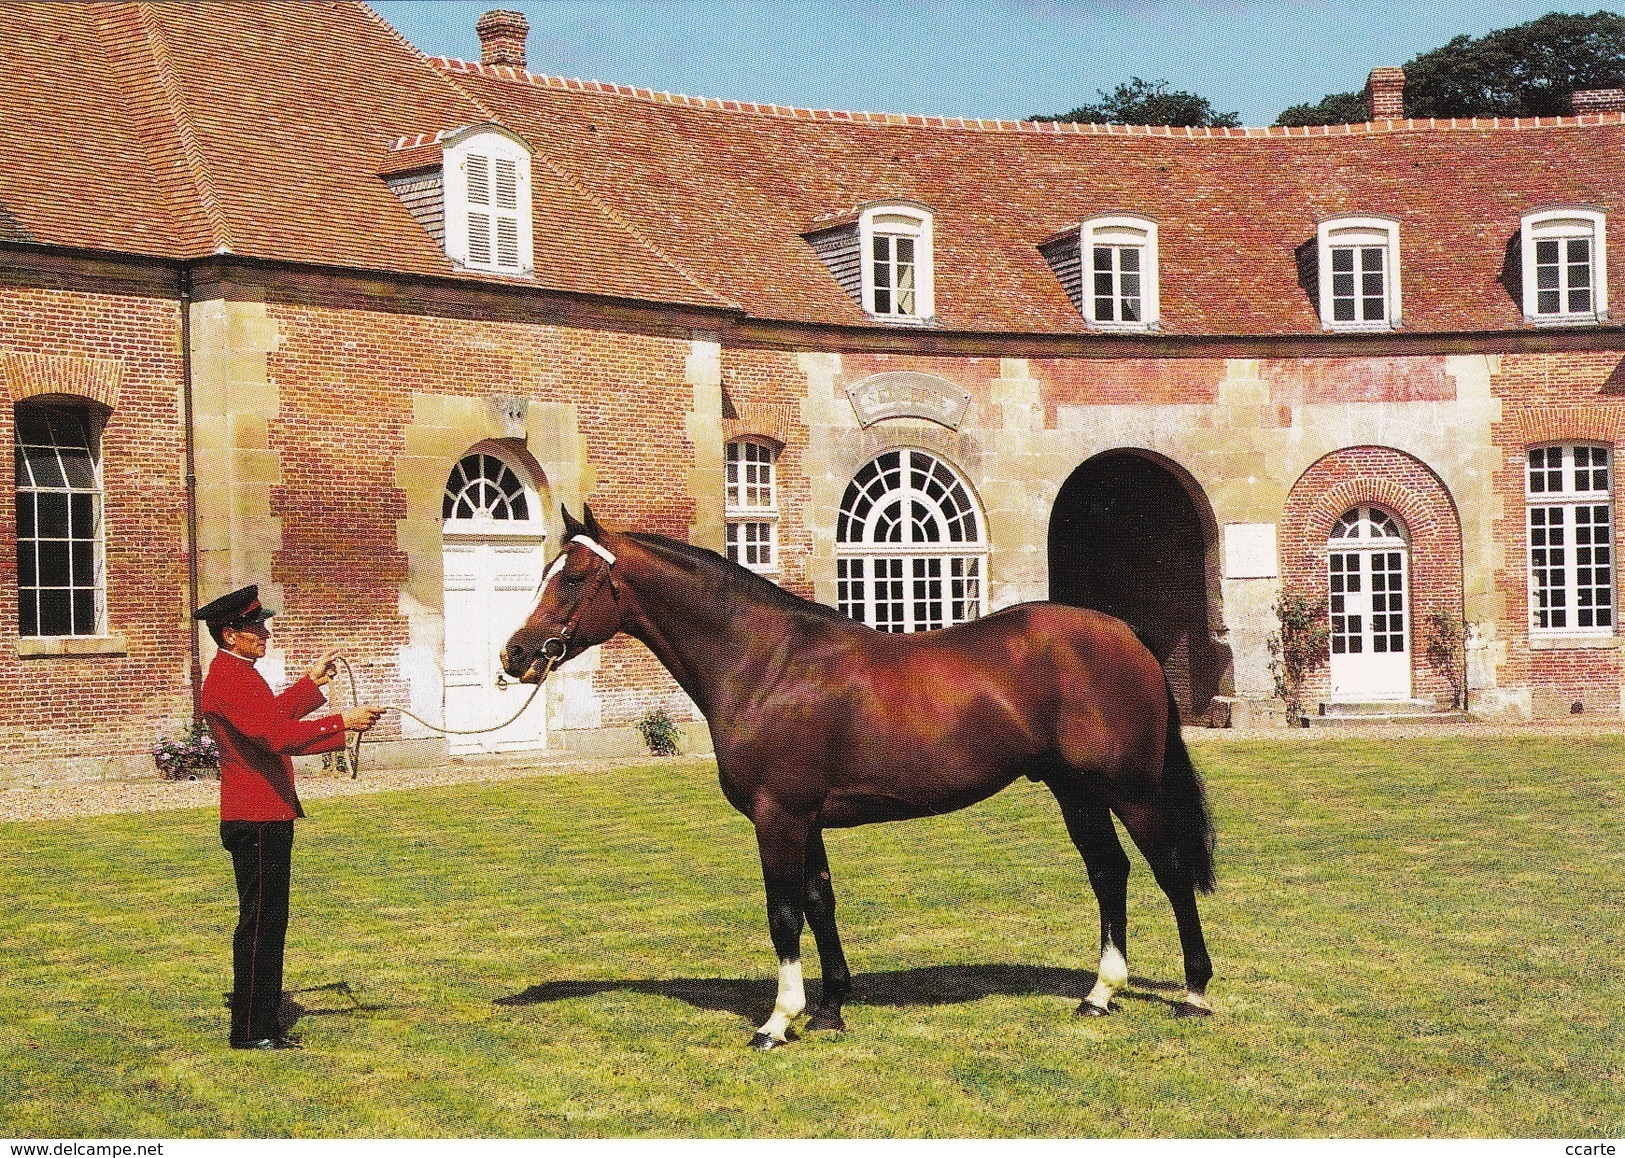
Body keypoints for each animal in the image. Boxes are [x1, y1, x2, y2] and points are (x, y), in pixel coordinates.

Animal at [500, 506, 1215, 1045]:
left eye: (573, 578)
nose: (515, 654)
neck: (766, 661)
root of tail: (1128, 636)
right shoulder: (806, 818)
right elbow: (820, 902)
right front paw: (830, 1008)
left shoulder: (778, 815)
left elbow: (783, 911)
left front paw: (777, 1022)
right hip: (1077, 792)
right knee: (1109, 873)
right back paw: (1100, 993)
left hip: (1130, 790)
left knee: (1170, 873)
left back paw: (1195, 991)